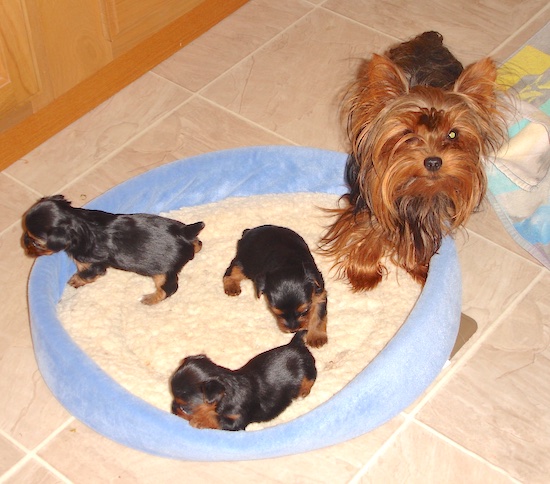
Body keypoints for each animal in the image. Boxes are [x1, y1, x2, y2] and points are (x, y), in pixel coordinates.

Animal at [21, 195, 207, 304]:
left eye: (36, 242)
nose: (23, 242)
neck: (79, 222)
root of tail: (184, 233)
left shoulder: (91, 265)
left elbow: (85, 275)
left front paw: (75, 281)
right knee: (198, 243)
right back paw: (196, 246)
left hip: (163, 273)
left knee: (168, 289)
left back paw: (150, 299)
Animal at [172, 328, 320, 432]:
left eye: (184, 408)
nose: (172, 409)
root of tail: (297, 344)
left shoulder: (237, 420)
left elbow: (216, 419)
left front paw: (200, 420)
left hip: (307, 368)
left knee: (310, 378)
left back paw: (303, 392)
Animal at [322, 32, 506, 290]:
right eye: (408, 133)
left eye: (453, 134)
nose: (433, 161)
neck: (416, 190)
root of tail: (430, 38)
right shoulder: (368, 195)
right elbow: (369, 225)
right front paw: (363, 271)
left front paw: (419, 266)